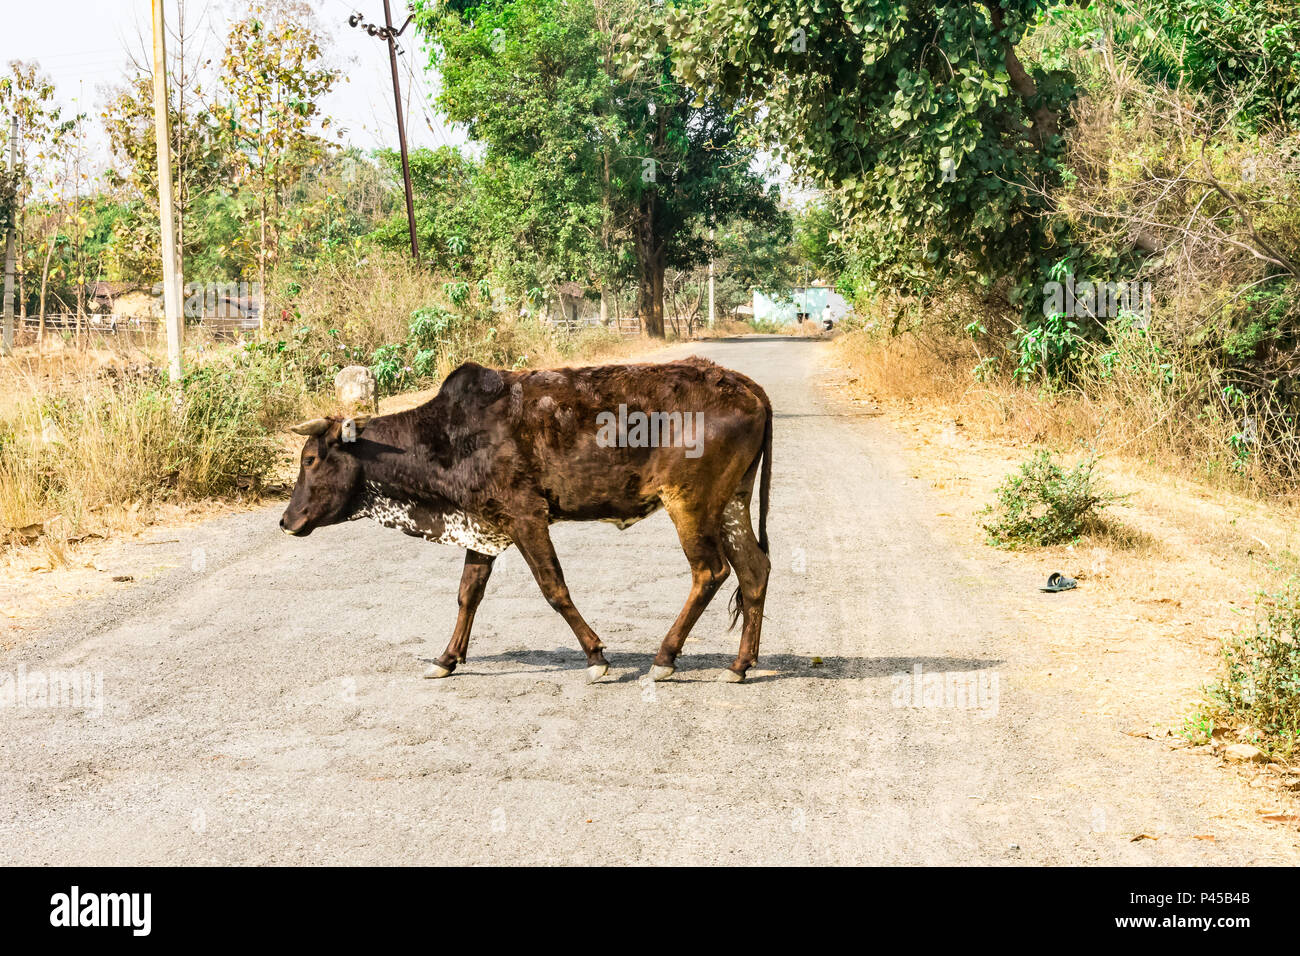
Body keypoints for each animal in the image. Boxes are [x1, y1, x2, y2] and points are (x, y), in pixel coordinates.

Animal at [279, 357, 772, 683]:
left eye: (309, 459)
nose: (286, 520)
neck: (445, 436)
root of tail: (742, 383)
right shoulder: (482, 525)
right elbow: (468, 595)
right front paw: (446, 659)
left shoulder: (526, 516)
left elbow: (554, 589)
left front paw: (596, 657)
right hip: (731, 502)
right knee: (754, 571)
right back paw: (740, 665)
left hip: (689, 503)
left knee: (710, 572)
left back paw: (665, 658)